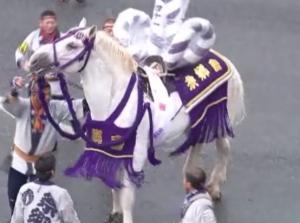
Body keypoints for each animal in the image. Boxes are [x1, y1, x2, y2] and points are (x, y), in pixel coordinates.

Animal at [28, 23, 244, 222]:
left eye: (72, 45)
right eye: (60, 37)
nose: (34, 60)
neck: (115, 97)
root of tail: (223, 60)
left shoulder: (135, 153)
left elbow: (127, 194)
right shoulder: (112, 150)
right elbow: (113, 185)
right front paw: (115, 212)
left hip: (218, 120)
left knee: (224, 148)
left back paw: (214, 187)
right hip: (198, 122)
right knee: (196, 146)